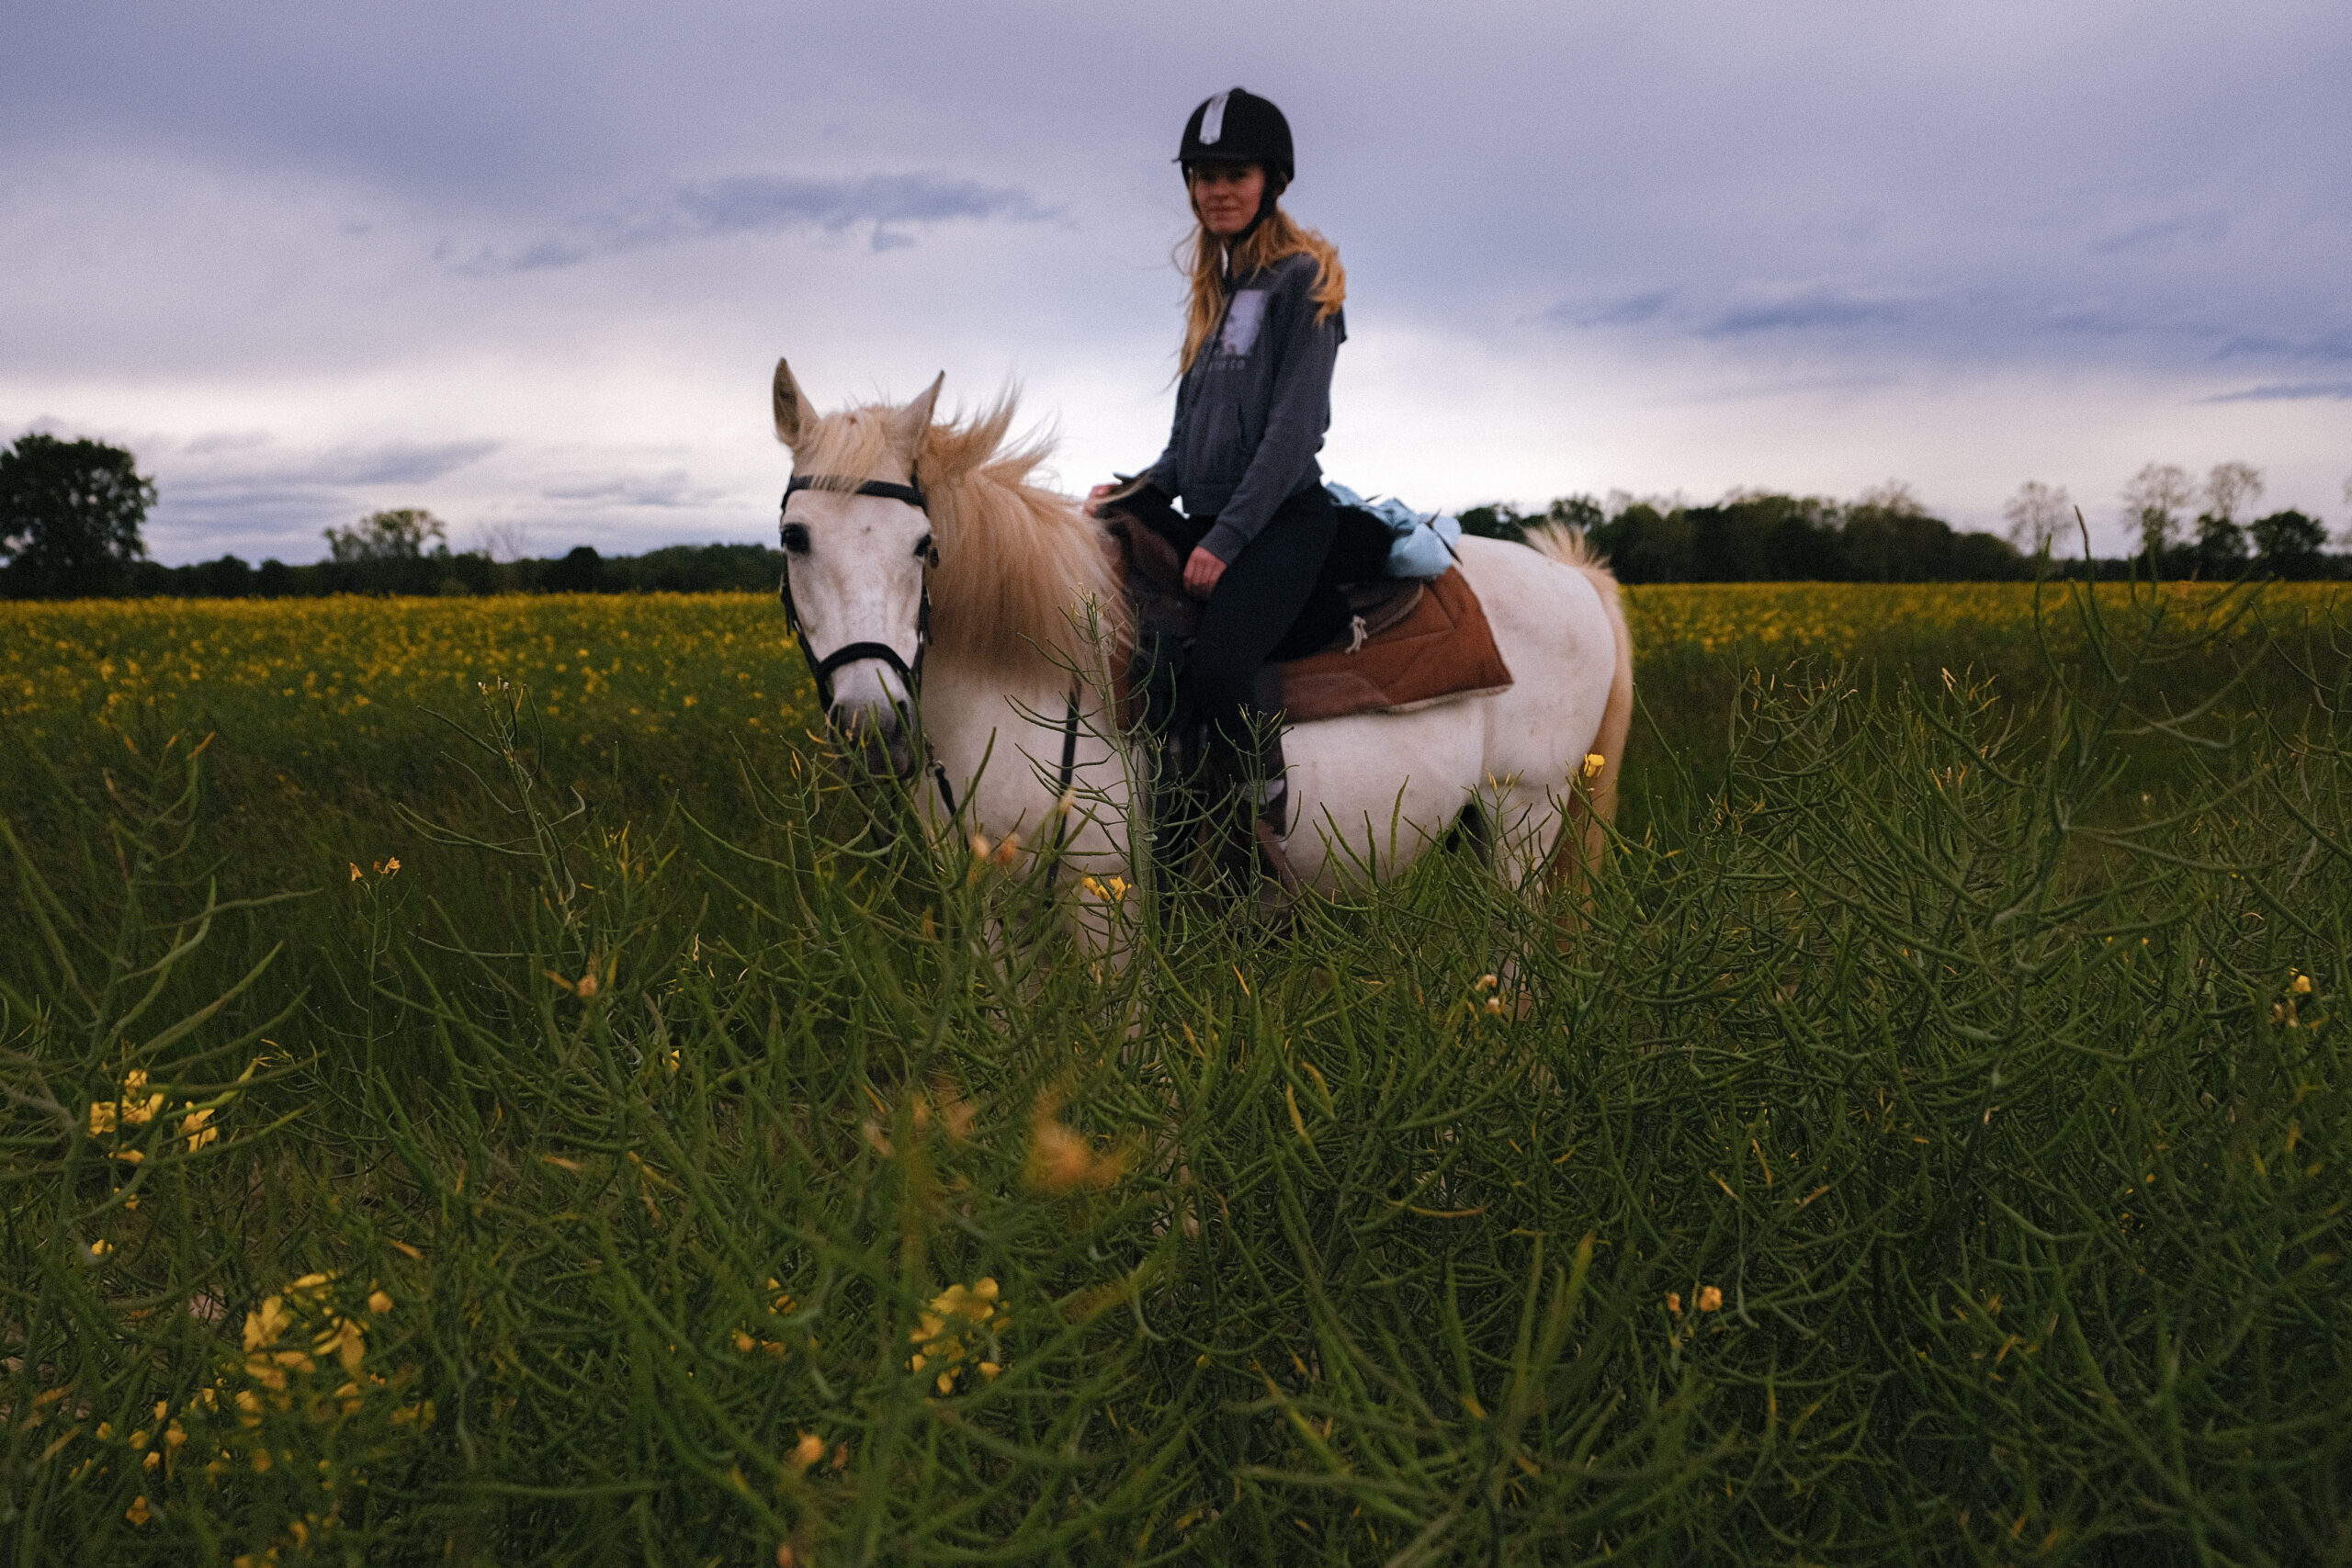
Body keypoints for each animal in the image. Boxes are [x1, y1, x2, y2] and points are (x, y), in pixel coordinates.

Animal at [768, 361, 1633, 923]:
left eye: (924, 545)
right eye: (794, 537)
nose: (875, 724)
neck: (1021, 666)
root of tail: (1573, 577)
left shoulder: (1107, 898)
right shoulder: (994, 908)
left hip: (1526, 819)